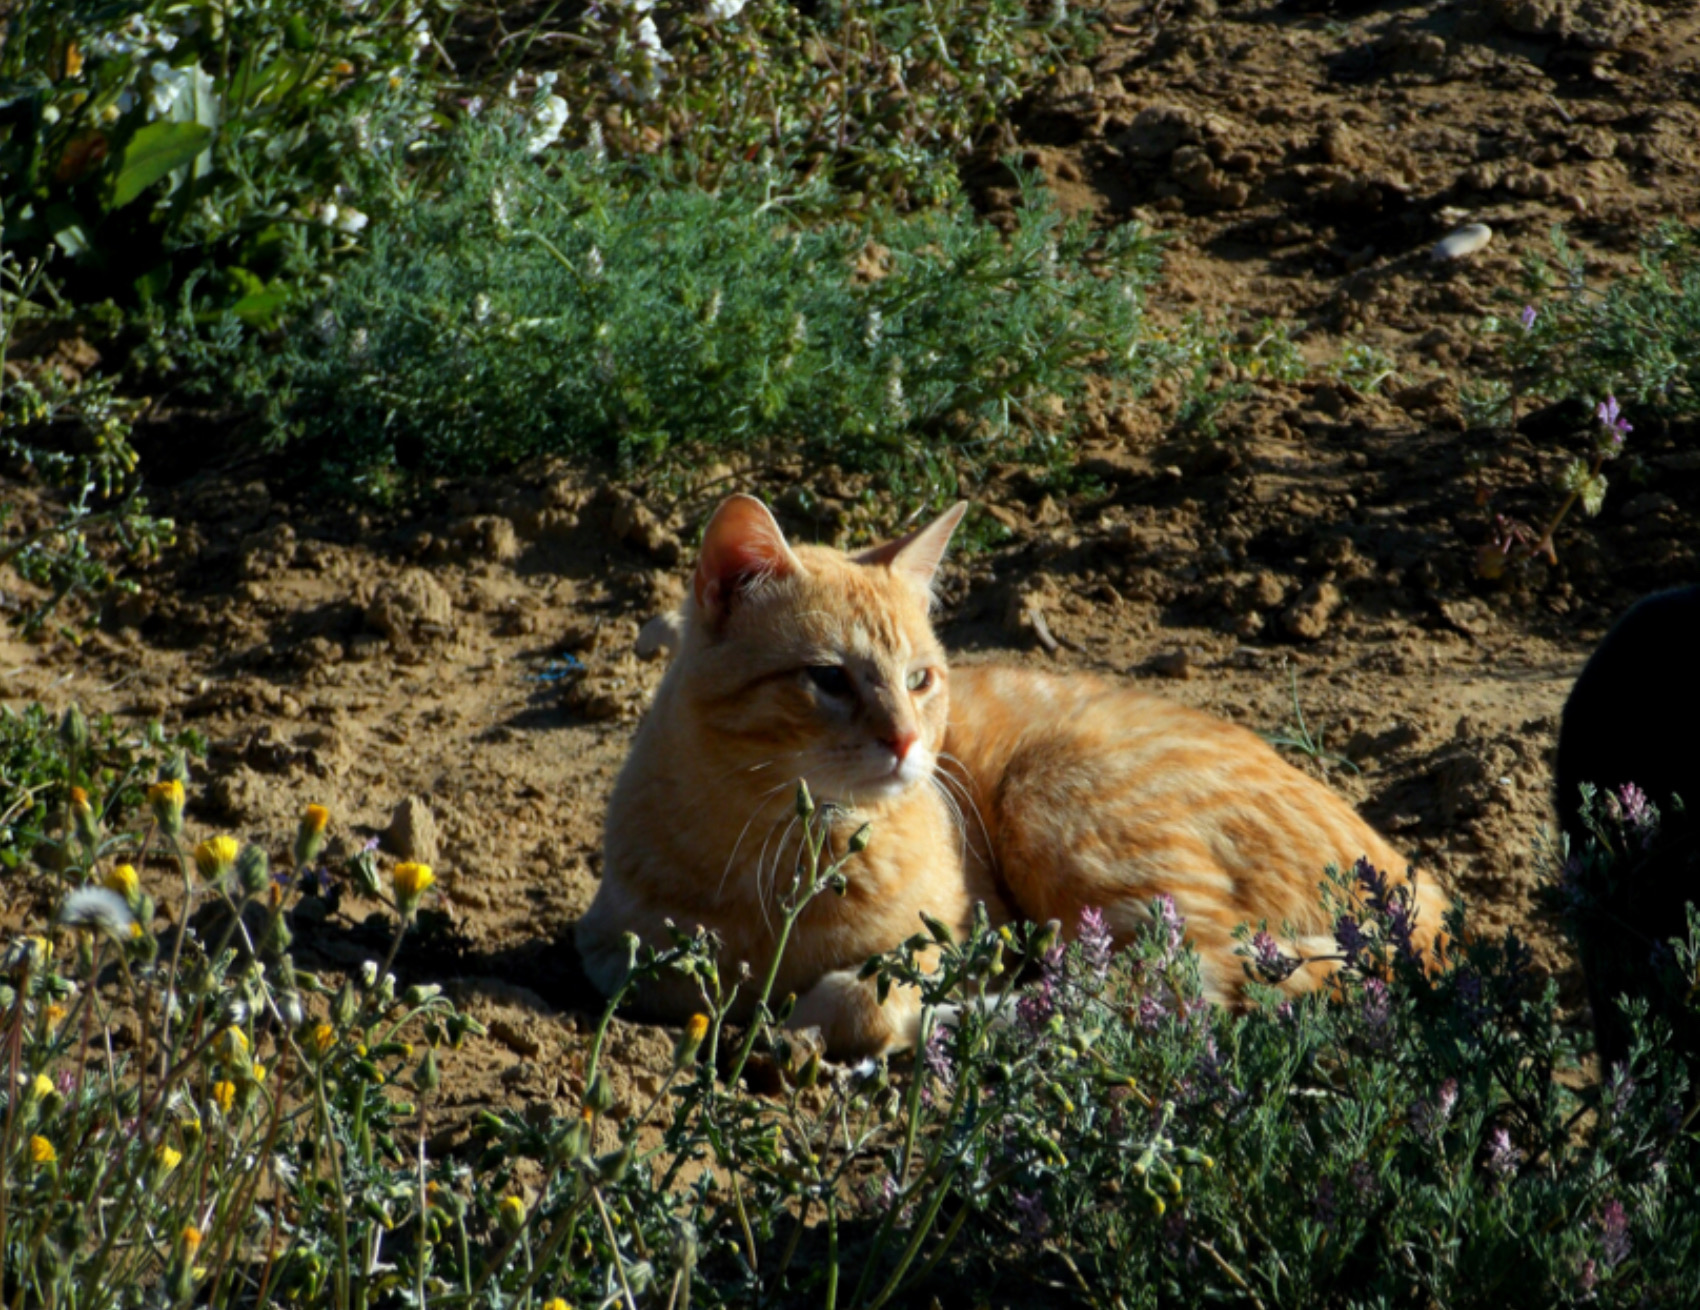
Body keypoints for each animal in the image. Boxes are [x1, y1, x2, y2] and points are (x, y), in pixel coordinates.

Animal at [581, 492, 1448, 1053]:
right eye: (827, 679)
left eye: (920, 679)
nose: (906, 742)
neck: (781, 851)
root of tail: (1425, 884)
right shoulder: (617, 952)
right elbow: (674, 980)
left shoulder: (952, 938)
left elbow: (875, 993)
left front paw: (825, 1022)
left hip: (1062, 807)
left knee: (1160, 990)